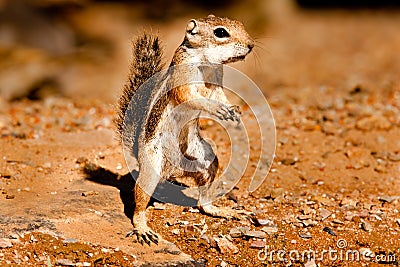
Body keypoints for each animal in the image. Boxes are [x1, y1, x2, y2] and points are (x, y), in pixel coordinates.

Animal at [115, 14, 253, 245]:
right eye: (220, 32)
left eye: (241, 25)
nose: (251, 45)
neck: (206, 62)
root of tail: (172, 171)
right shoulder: (182, 77)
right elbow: (191, 97)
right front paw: (217, 109)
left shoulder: (217, 81)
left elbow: (219, 96)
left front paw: (233, 110)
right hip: (151, 166)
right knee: (139, 203)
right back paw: (143, 228)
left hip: (207, 161)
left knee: (203, 201)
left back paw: (221, 210)